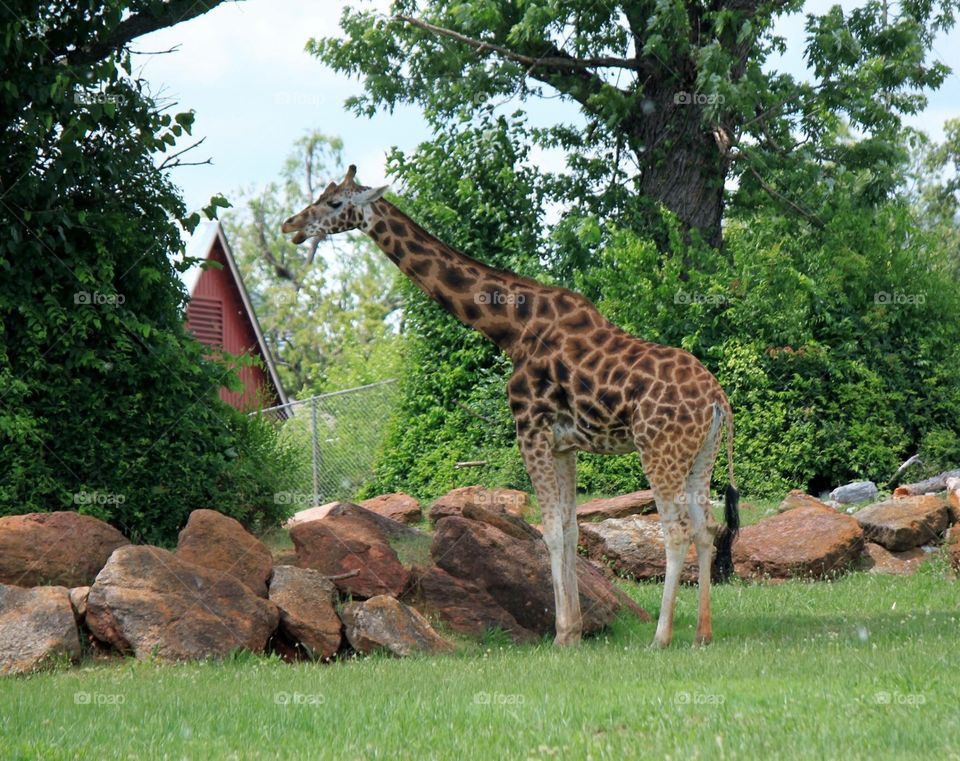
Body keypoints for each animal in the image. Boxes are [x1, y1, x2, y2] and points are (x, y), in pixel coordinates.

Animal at [282, 166, 740, 648]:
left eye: (334, 204)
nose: (291, 225)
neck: (510, 326)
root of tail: (718, 400)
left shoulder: (530, 429)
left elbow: (550, 532)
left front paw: (561, 634)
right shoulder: (564, 444)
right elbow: (570, 530)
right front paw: (576, 631)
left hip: (658, 451)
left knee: (676, 531)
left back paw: (661, 637)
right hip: (699, 457)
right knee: (707, 529)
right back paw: (703, 633)